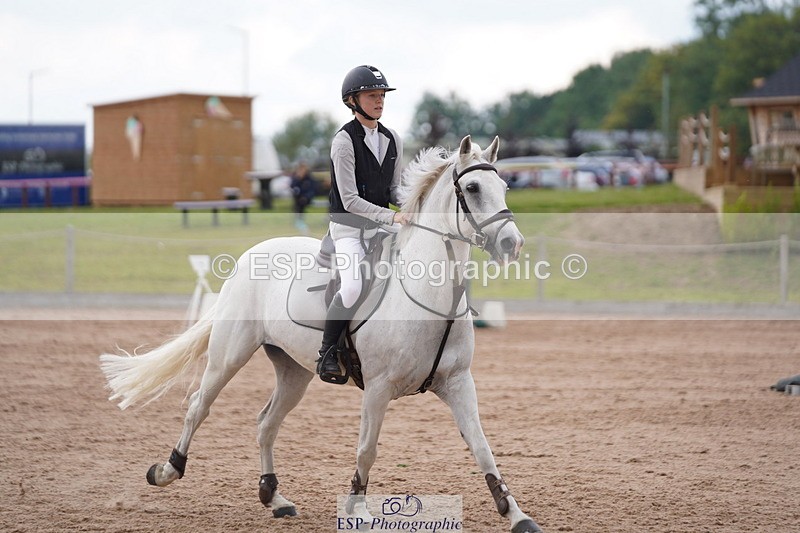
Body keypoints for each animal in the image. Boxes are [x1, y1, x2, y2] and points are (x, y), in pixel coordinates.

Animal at [100, 135, 543, 533]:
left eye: (504, 187)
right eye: (472, 188)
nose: (512, 244)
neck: (427, 296)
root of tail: (249, 255)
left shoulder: (458, 383)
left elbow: (482, 448)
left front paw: (516, 514)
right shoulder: (378, 388)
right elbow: (367, 449)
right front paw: (358, 509)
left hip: (294, 371)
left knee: (266, 422)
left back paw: (274, 497)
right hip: (229, 356)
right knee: (198, 406)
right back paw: (167, 471)